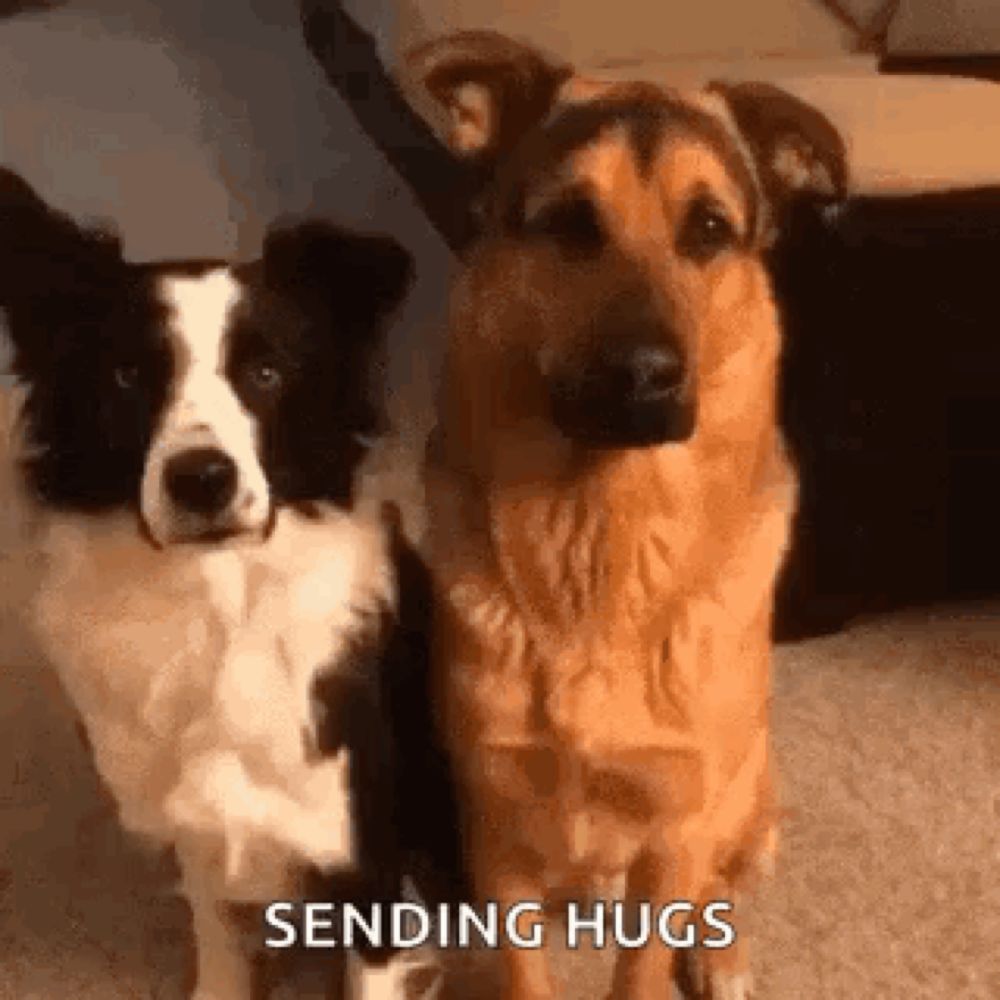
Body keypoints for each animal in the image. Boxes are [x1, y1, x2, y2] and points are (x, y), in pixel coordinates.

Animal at [0, 168, 464, 996]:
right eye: (127, 374)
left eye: (267, 372)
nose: (202, 479)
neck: (214, 603)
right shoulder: (202, 834)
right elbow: (219, 942)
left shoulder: (367, 862)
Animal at [410, 33, 848, 1000]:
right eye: (573, 222)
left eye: (709, 230)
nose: (645, 378)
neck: (600, 533)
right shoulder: (495, 831)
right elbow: (522, 969)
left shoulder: (675, 835)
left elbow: (646, 960)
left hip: (742, 796)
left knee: (724, 884)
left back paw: (722, 953)